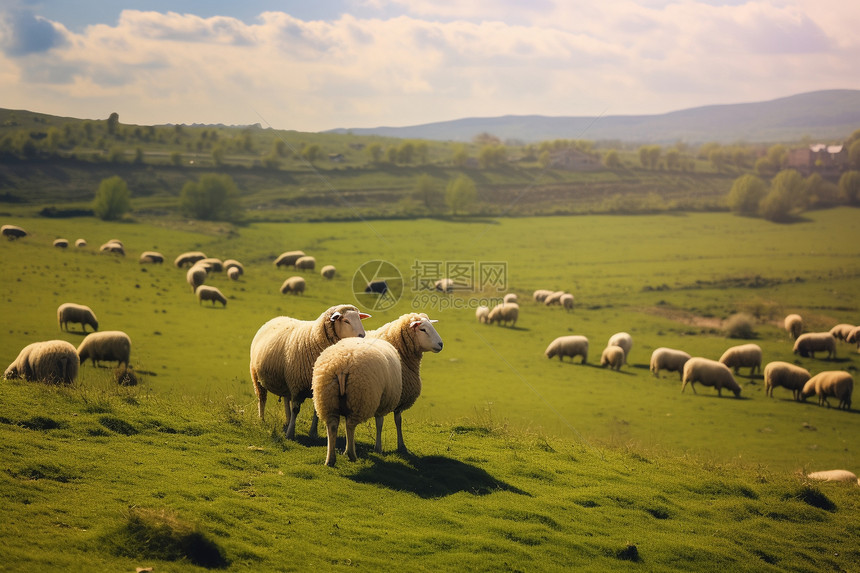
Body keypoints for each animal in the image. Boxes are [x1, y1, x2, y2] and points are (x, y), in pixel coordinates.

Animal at [249, 304, 370, 438]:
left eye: (359, 319)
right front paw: (290, 433)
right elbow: (296, 409)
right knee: (262, 398)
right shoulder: (297, 385)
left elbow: (316, 411)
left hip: (286, 380)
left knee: (286, 399)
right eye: (346, 321)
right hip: (256, 375)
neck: (315, 339)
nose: (362, 336)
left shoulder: (319, 385)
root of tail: (275, 318)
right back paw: (262, 419)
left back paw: (287, 421)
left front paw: (313, 432)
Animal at [310, 336, 402, 464]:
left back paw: (330, 459)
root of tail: (342, 367)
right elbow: (379, 423)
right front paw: (378, 449)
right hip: (359, 397)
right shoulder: (382, 405)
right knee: (350, 426)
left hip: (327, 398)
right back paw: (351, 454)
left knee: (332, 425)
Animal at [364, 310, 444, 454]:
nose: (441, 344)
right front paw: (378, 447)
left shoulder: (401, 397)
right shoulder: (383, 396)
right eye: (422, 329)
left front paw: (402, 446)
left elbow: (398, 421)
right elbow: (380, 422)